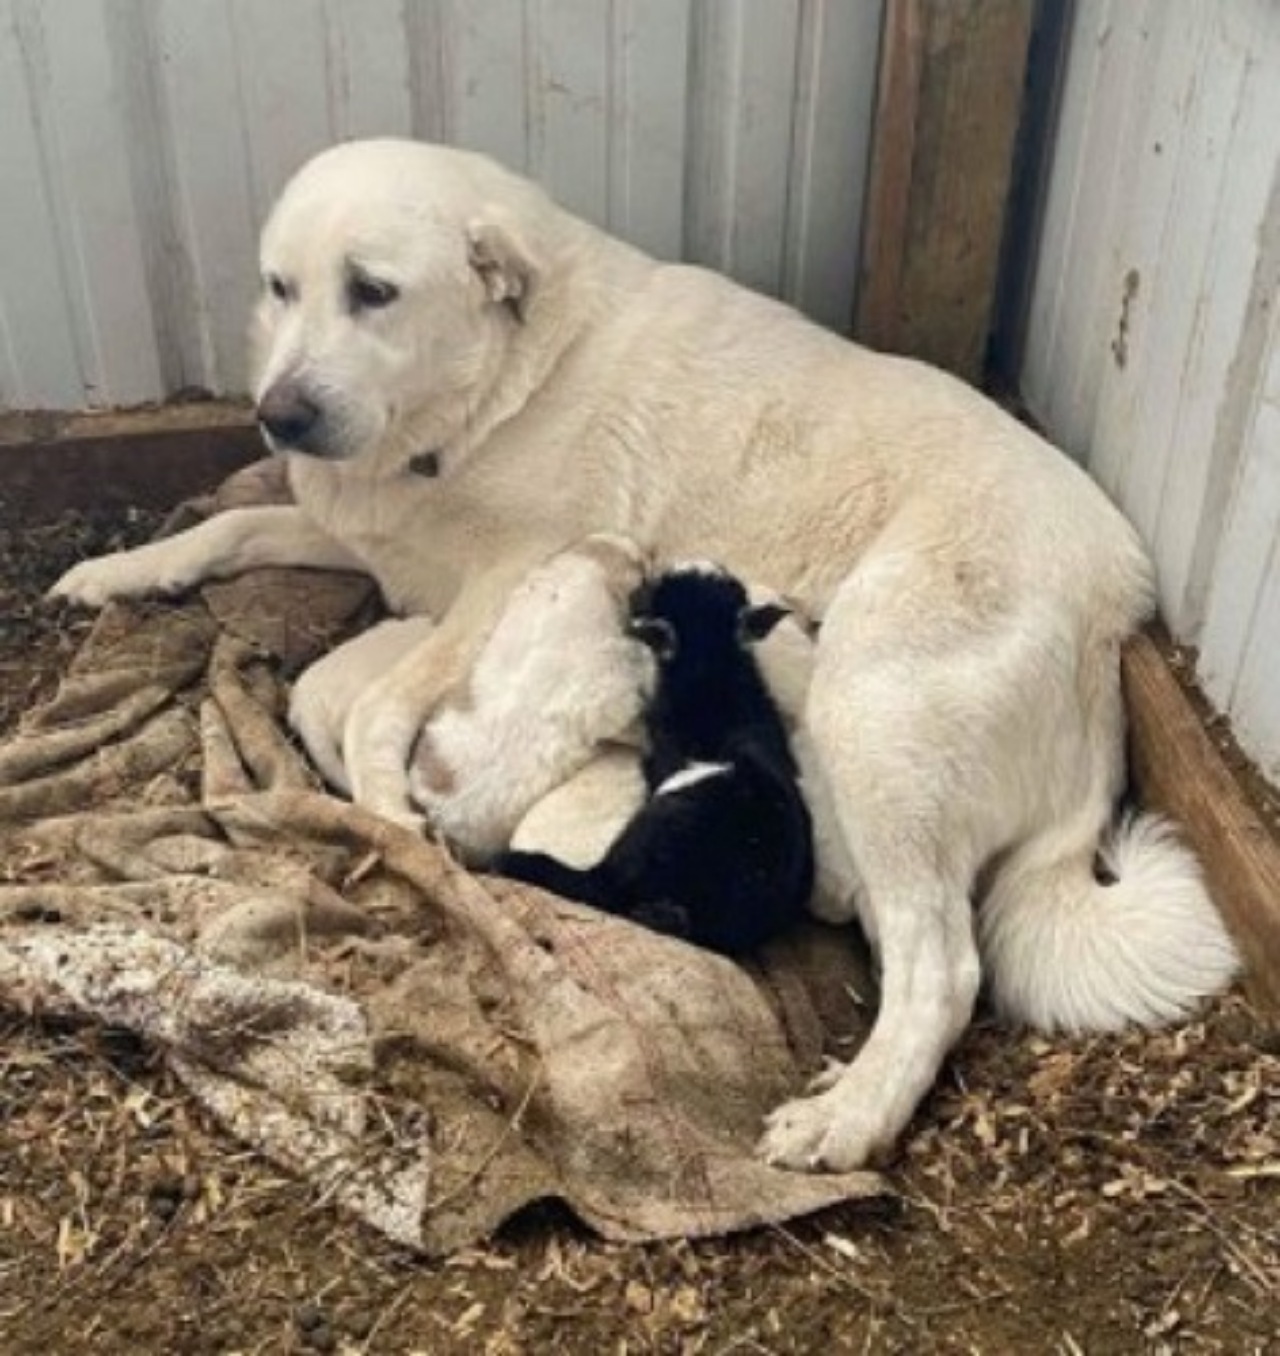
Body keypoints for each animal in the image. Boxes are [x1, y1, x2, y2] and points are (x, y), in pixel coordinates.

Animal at [52, 140, 1242, 1177]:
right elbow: (230, 531)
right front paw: (121, 571)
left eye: (374, 292)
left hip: (873, 706)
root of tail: (1113, 613)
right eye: (281, 286)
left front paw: (392, 819)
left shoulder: (498, 584)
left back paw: (848, 1118)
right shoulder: (385, 547)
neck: (498, 390)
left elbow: (379, 704)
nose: (280, 415)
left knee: (942, 969)